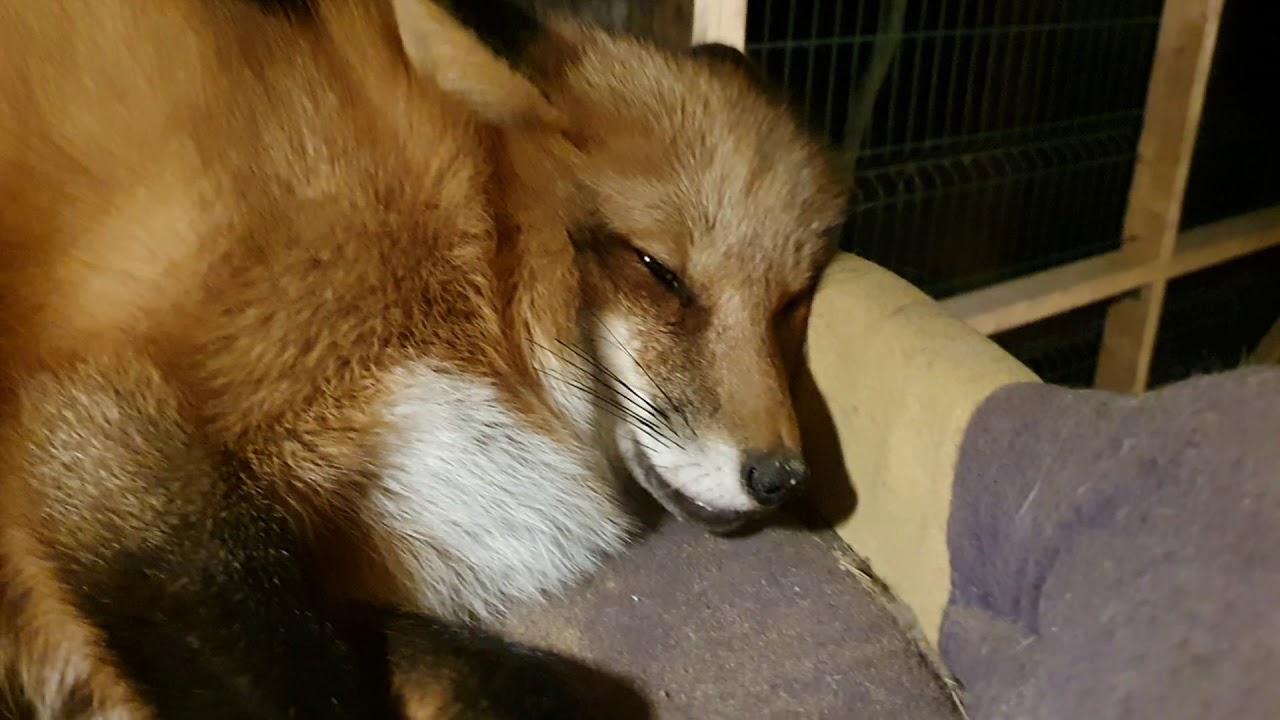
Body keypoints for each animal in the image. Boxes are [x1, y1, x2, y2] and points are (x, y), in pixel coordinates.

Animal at [0, 0, 851, 717]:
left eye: (790, 305)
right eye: (660, 272)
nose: (783, 478)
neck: (472, 252)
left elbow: (501, 679)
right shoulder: (108, 429)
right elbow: (310, 692)